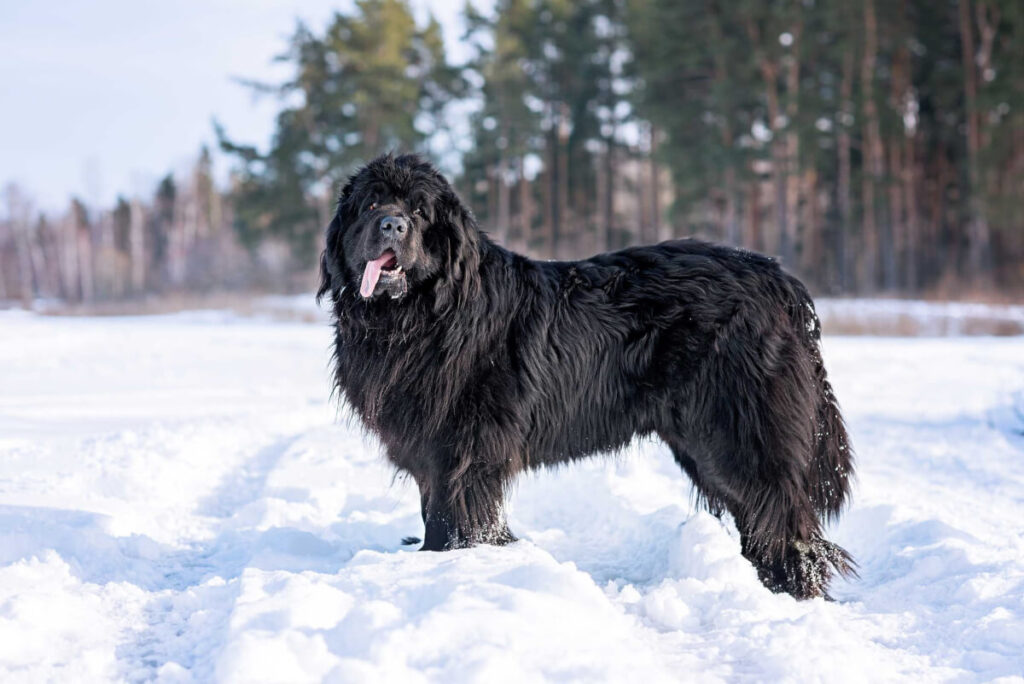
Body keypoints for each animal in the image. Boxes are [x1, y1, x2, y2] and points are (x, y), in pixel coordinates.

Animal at [319, 153, 856, 597]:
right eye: (371, 203)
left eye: (420, 212)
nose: (391, 224)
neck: (416, 318)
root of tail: (777, 278)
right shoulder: (431, 450)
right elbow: (435, 510)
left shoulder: (464, 451)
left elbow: (455, 520)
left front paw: (450, 566)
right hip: (704, 443)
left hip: (736, 434)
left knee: (783, 520)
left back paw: (790, 592)